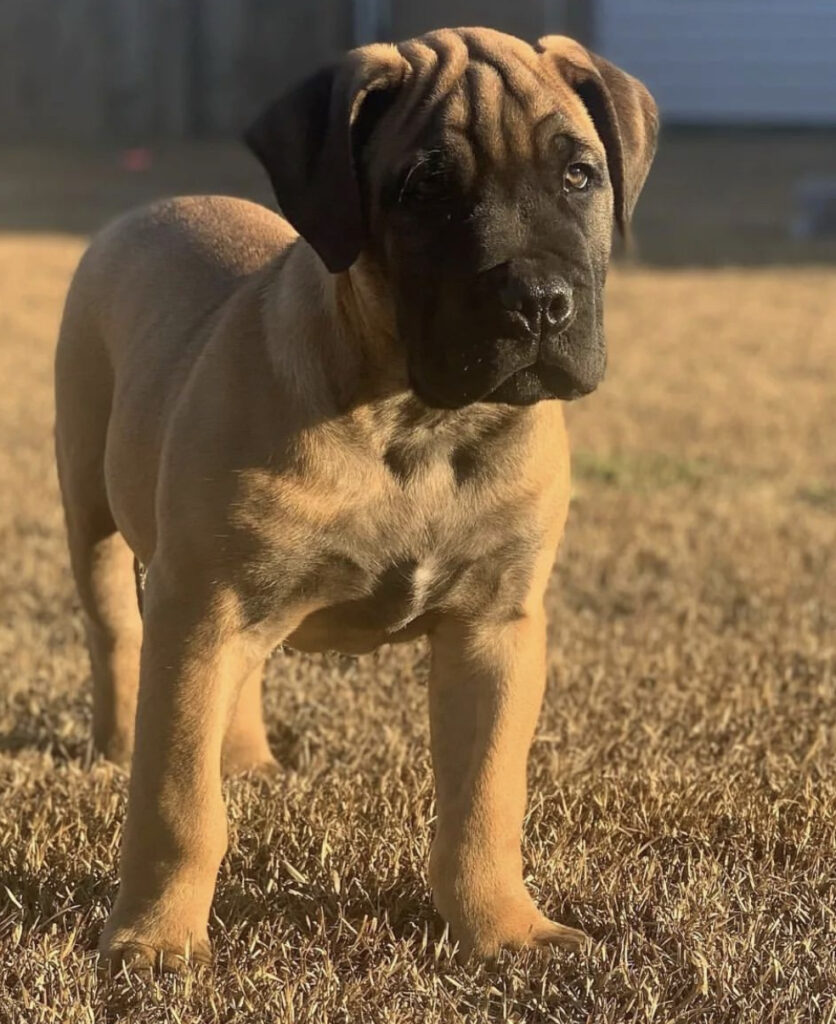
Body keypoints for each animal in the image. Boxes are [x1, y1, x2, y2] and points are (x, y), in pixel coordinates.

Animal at [54, 27, 657, 966]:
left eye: (579, 174)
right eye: (425, 189)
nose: (539, 303)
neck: (417, 422)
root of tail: (154, 207)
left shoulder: (495, 629)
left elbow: (486, 799)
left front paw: (503, 929)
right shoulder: (200, 605)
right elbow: (177, 803)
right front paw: (155, 939)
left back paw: (247, 757)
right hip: (97, 514)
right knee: (116, 633)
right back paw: (120, 745)